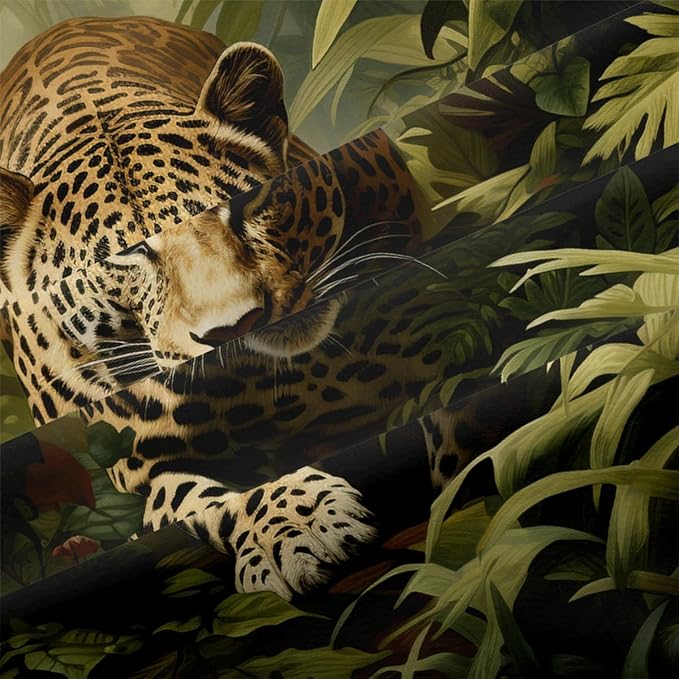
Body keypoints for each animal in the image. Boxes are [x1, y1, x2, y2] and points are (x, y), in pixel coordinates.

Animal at [0, 16, 522, 600]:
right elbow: (202, 501)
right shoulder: (131, 473)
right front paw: (296, 525)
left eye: (244, 205)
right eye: (126, 256)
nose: (237, 324)